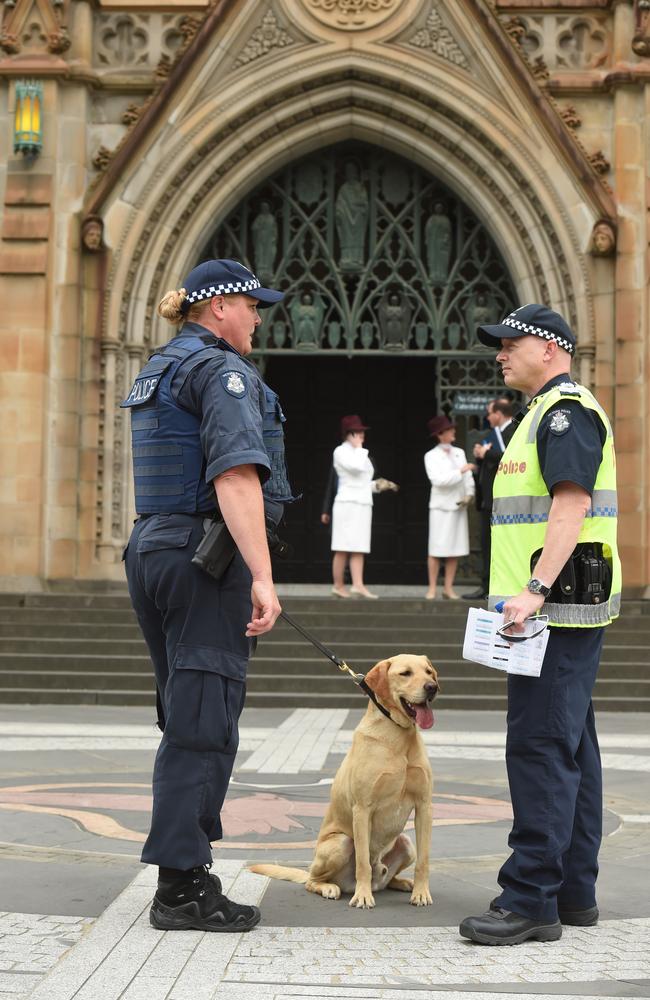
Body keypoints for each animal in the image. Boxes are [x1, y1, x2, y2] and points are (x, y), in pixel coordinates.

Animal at [248, 656, 436, 908]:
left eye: (428, 672)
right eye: (405, 673)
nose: (432, 688)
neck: (398, 735)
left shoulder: (424, 806)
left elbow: (424, 860)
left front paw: (421, 893)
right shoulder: (363, 808)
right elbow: (363, 863)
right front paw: (363, 896)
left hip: (406, 843)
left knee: (389, 875)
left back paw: (401, 882)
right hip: (341, 843)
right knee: (313, 880)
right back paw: (331, 887)